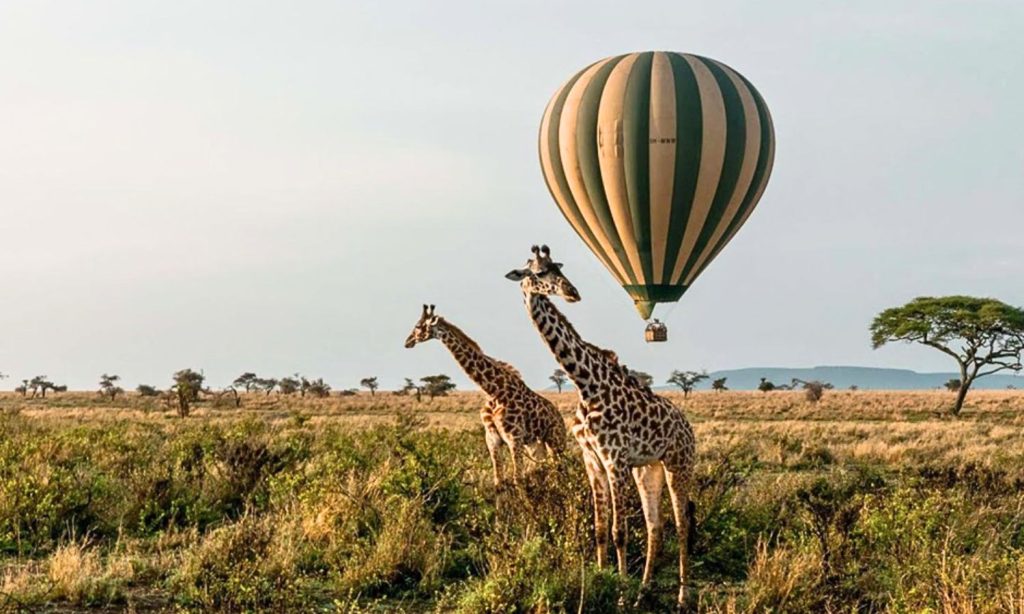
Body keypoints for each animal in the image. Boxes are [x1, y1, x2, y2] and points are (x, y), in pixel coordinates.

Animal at [401, 304, 565, 487]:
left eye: (418, 326)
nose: (407, 342)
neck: (494, 391)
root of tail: (560, 419)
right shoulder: (492, 439)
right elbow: (498, 481)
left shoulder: (514, 438)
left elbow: (518, 479)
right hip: (536, 446)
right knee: (548, 471)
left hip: (555, 442)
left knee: (561, 471)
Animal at [503, 245, 696, 609]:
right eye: (538, 272)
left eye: (557, 267)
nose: (572, 292)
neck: (585, 382)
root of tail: (688, 427)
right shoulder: (592, 460)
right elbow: (600, 530)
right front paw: (599, 587)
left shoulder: (614, 459)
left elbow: (620, 533)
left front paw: (618, 597)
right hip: (648, 468)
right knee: (655, 526)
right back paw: (643, 594)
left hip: (678, 465)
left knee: (681, 526)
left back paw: (680, 598)